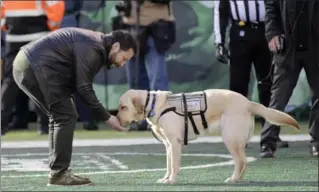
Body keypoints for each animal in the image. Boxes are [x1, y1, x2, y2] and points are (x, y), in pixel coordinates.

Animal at [117, 89, 300, 184]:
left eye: (123, 107)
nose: (116, 119)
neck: (156, 106)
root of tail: (248, 102)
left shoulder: (175, 144)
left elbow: (174, 166)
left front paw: (172, 180)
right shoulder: (168, 145)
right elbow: (168, 166)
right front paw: (165, 178)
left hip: (230, 139)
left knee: (241, 161)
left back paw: (233, 179)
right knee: (245, 162)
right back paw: (238, 179)